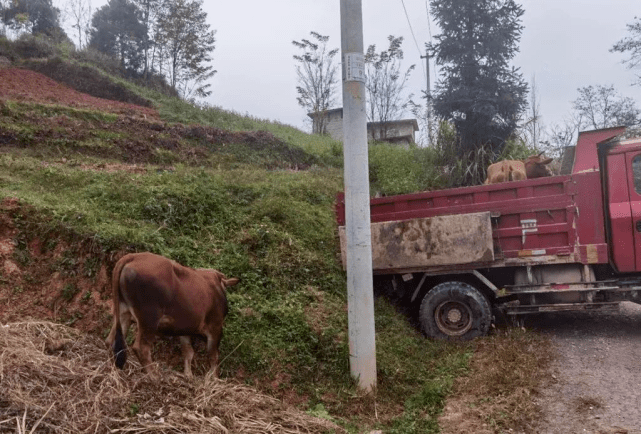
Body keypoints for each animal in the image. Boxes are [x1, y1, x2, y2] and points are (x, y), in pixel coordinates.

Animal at [105, 253, 240, 378]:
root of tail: (133, 256)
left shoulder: (184, 329)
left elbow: (188, 352)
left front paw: (188, 375)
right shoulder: (216, 327)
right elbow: (213, 356)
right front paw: (214, 379)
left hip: (123, 313)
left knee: (111, 341)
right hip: (149, 319)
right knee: (141, 348)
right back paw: (154, 376)